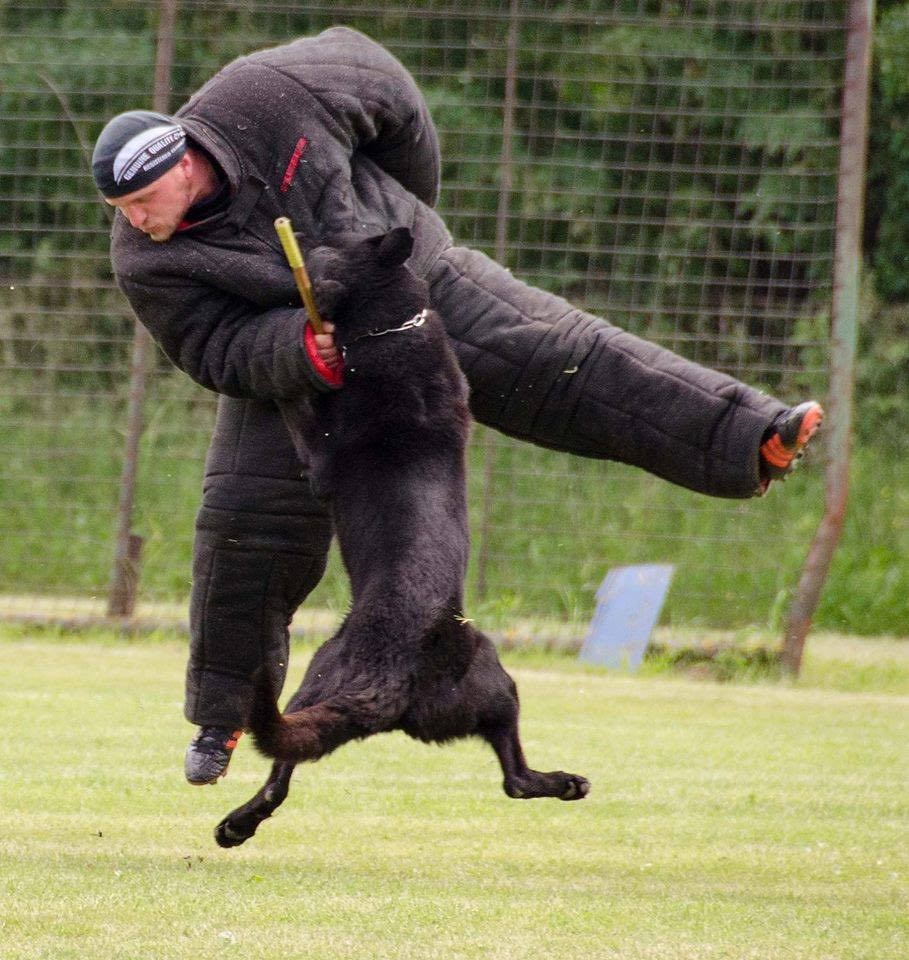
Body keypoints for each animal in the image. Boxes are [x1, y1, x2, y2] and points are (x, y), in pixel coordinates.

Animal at [217, 229, 592, 844]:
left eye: (327, 246)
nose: (293, 241)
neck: (393, 324)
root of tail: (393, 685)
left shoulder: (319, 457)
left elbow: (297, 402)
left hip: (337, 668)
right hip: (492, 688)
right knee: (511, 777)